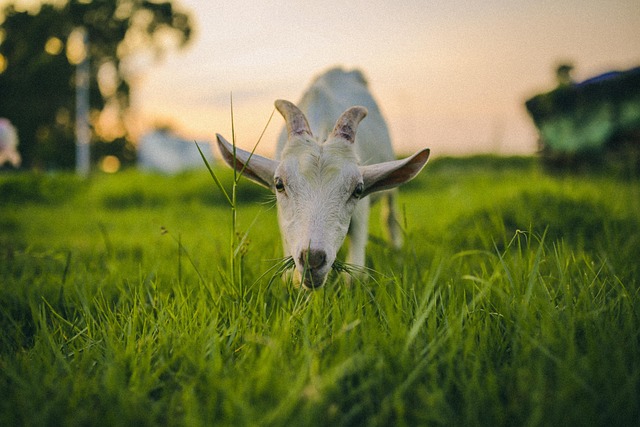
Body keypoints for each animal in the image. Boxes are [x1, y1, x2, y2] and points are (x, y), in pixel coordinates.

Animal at [216, 68, 430, 289]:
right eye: (278, 184)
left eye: (358, 190)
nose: (313, 258)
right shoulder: (284, 221)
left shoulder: (361, 210)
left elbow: (354, 275)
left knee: (390, 214)